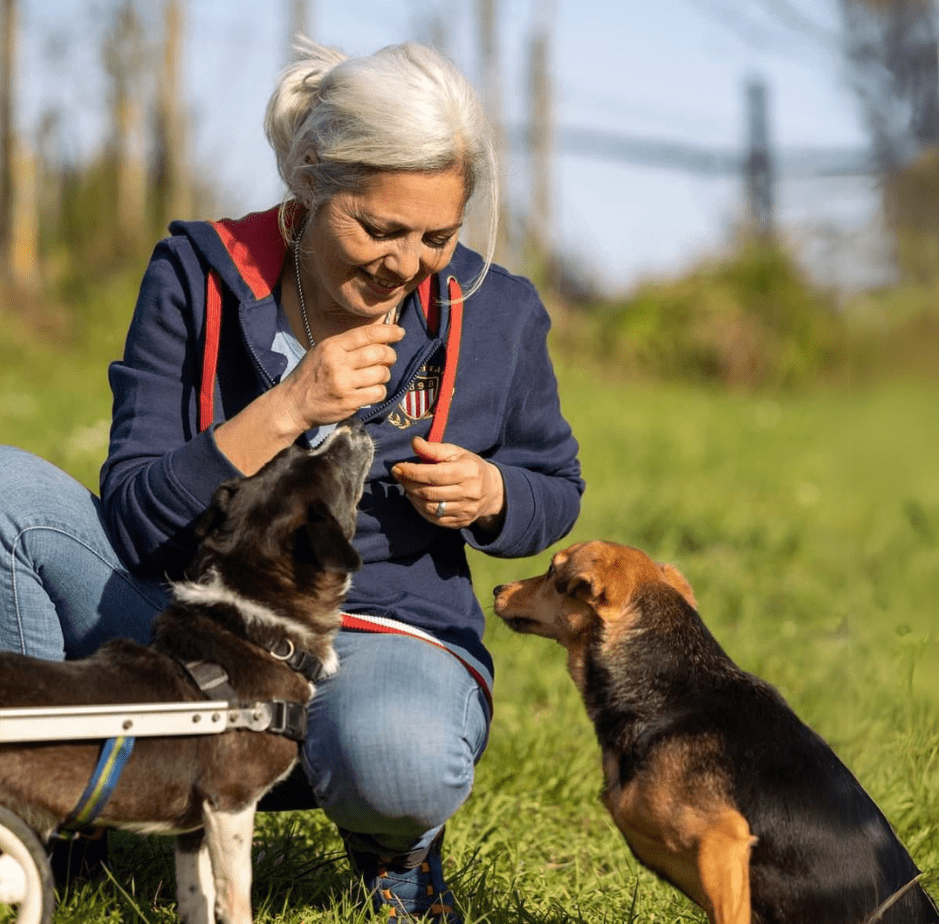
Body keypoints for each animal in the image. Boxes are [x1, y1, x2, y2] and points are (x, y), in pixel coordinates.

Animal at [0, 420, 374, 924]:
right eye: (332, 470)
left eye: (289, 455)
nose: (355, 423)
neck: (257, 631)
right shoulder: (230, 803)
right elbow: (234, 896)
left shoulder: (193, 824)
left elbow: (196, 894)